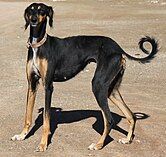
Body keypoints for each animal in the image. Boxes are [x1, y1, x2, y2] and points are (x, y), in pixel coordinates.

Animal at [11, 2, 159, 152]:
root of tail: (118, 49)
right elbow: (27, 114)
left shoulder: (48, 86)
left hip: (98, 85)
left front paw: (43, 144)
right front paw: (22, 135)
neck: (39, 45)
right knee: (131, 115)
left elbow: (46, 119)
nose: (33, 20)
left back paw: (99, 144)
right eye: (31, 10)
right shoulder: (32, 84)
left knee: (109, 120)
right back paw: (127, 139)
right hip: (111, 90)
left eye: (42, 11)